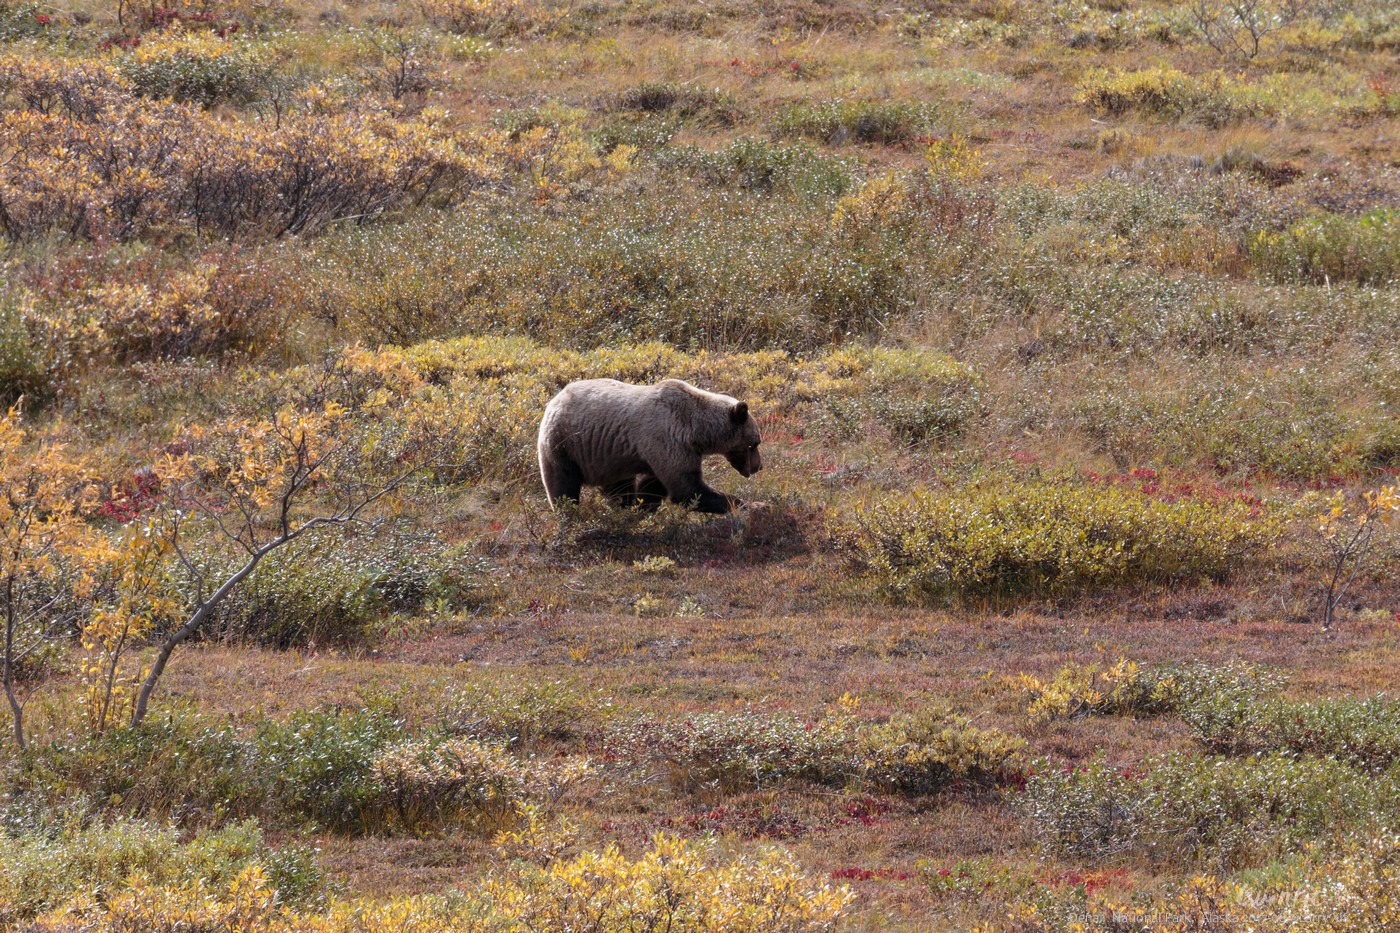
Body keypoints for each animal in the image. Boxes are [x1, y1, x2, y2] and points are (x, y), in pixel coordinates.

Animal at [534, 375, 761, 512]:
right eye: (754, 444)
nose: (758, 466)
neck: (695, 431)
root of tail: (556, 397)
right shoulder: (667, 439)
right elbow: (687, 489)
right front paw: (753, 505)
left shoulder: (667, 451)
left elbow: (655, 485)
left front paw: (643, 506)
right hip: (564, 443)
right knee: (563, 483)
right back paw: (567, 511)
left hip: (608, 457)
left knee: (619, 486)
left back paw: (623, 505)